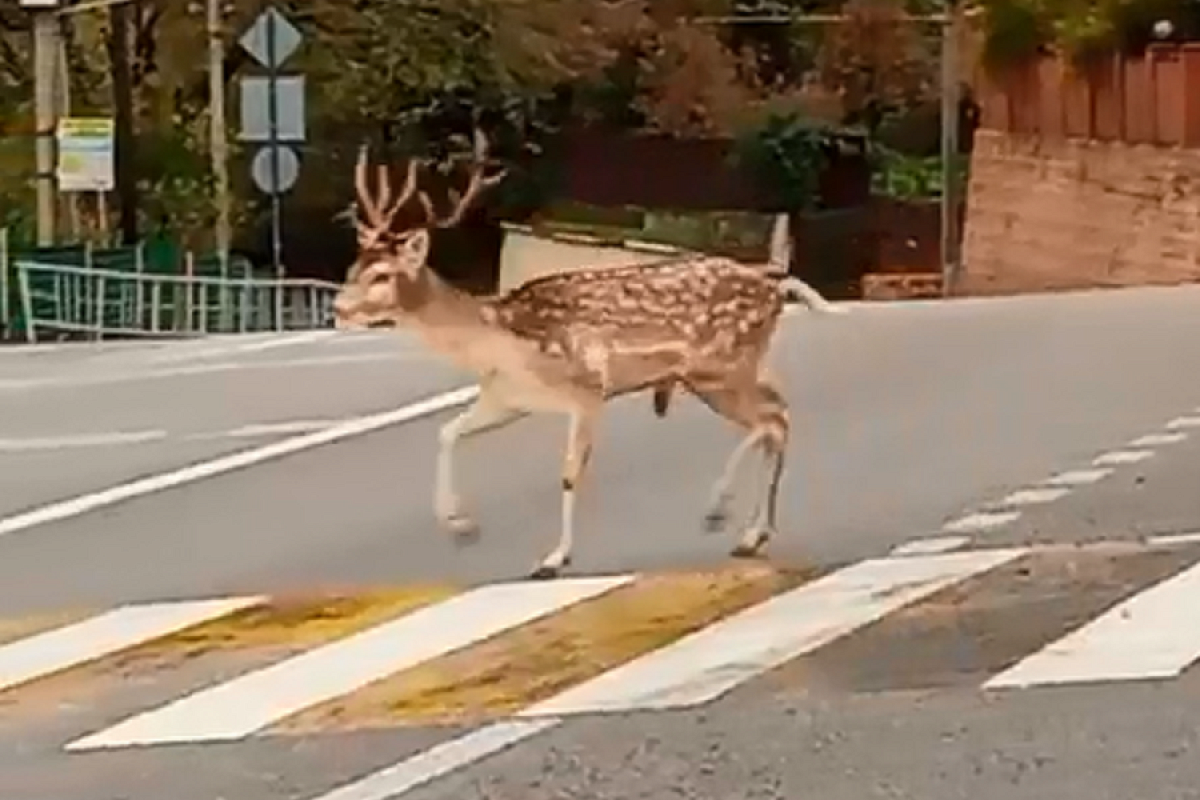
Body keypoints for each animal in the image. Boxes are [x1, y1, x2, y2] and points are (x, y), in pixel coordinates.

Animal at [333, 125, 849, 578]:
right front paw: (460, 526)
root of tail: (776, 285)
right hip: (724, 372)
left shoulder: (586, 389)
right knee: (778, 416)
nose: (338, 308)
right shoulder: (507, 399)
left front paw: (553, 558)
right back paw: (752, 535)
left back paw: (719, 510)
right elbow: (447, 433)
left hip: (721, 365)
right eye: (353, 266)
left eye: (382, 275)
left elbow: (568, 472)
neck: (501, 341)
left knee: (771, 420)